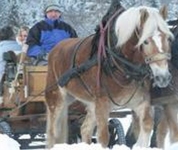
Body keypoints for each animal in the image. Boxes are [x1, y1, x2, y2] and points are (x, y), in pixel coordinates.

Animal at [44, 1, 174, 148]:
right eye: (145, 41)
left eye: (168, 39)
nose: (164, 77)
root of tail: (55, 48)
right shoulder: (102, 103)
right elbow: (104, 137)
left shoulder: (141, 101)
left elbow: (147, 125)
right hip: (56, 98)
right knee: (52, 132)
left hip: (91, 103)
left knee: (85, 129)